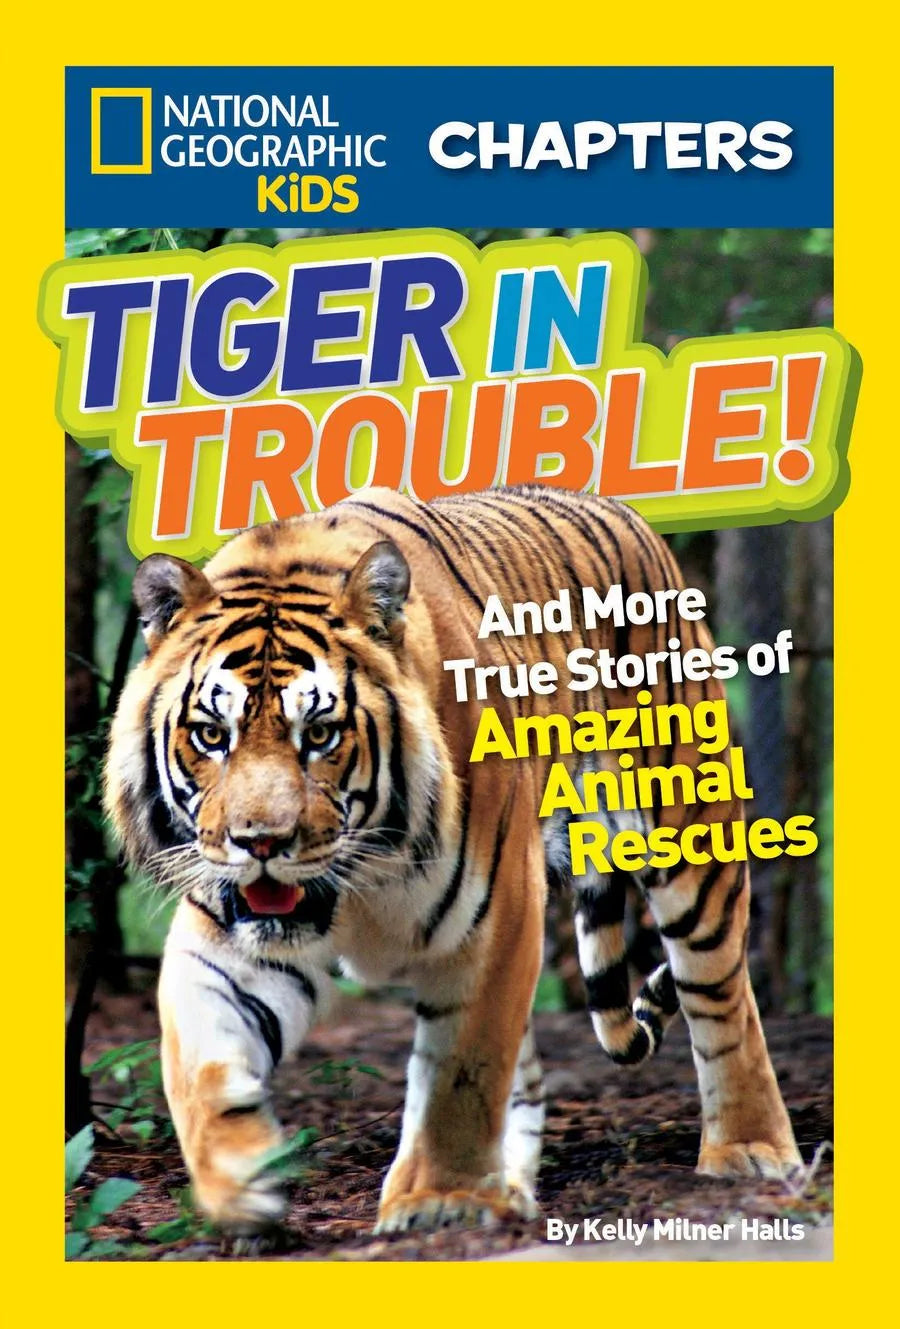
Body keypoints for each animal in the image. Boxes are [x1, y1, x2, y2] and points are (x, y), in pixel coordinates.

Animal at [104, 483, 801, 1234]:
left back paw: (752, 1150)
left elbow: (462, 1073)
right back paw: (514, 1189)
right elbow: (197, 1064)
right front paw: (240, 1176)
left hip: (689, 834)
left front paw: (439, 1199)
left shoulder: (497, 918)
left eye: (319, 734)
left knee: (722, 996)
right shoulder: (225, 933)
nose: (261, 843)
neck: (359, 881)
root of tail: (620, 510)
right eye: (213, 734)